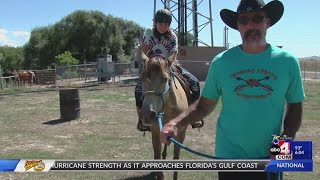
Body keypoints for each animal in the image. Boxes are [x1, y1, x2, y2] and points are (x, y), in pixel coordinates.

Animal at [139, 52, 189, 180]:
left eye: (165, 79)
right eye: (142, 78)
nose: (147, 114)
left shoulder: (181, 133)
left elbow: (176, 157)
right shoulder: (156, 133)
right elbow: (157, 160)